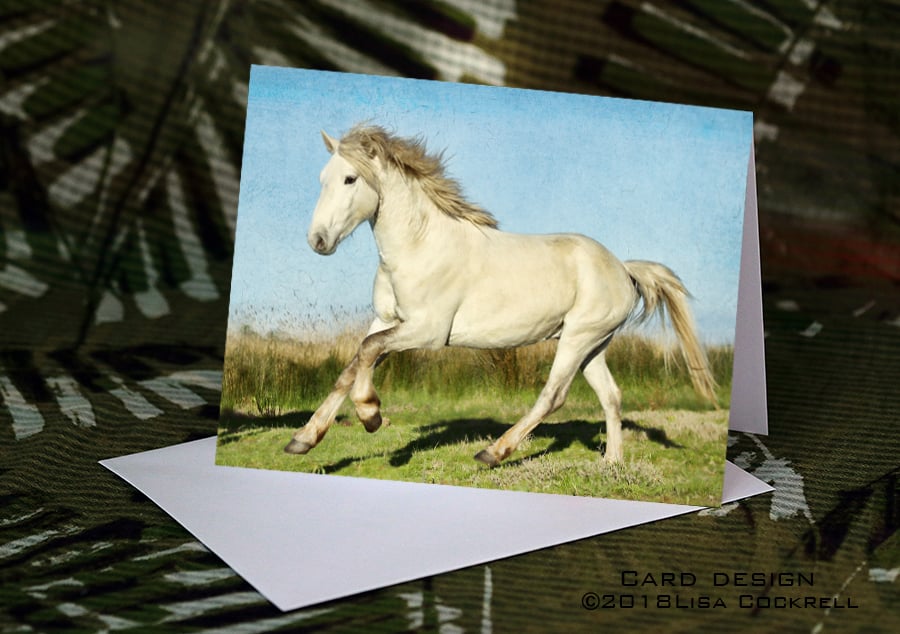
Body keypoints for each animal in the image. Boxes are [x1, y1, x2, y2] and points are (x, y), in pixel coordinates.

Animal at [283, 124, 717, 466]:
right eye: (322, 178)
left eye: (350, 179)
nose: (317, 240)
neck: (421, 245)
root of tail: (623, 269)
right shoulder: (388, 320)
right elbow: (353, 364)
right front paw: (304, 439)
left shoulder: (427, 331)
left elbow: (368, 351)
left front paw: (370, 415)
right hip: (594, 345)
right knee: (611, 395)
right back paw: (611, 462)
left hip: (578, 339)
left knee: (553, 396)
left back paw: (493, 452)